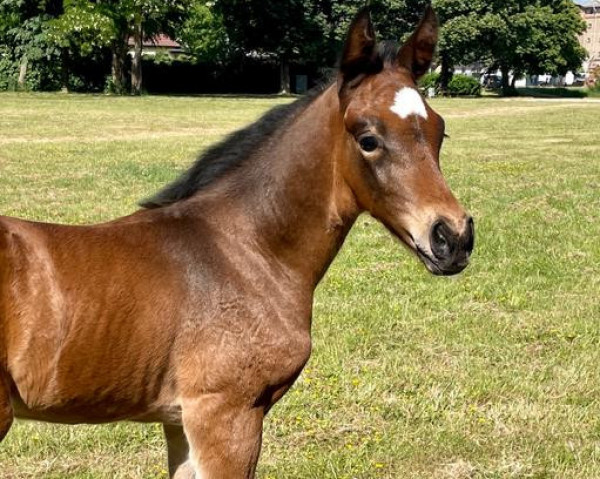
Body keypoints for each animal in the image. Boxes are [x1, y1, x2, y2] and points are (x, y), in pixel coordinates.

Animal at [0, 8, 474, 479]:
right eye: (368, 139)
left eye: (440, 132)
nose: (453, 236)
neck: (247, 252)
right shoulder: (227, 414)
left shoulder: (181, 422)